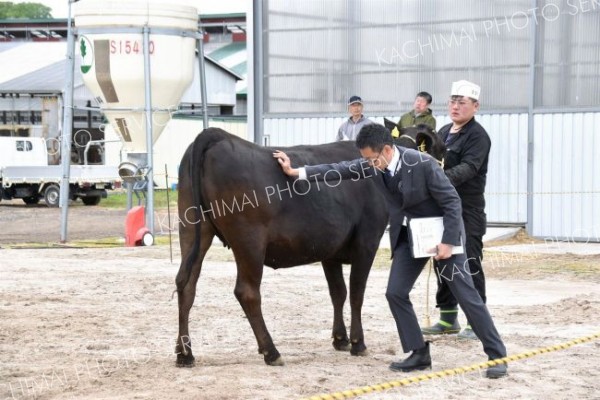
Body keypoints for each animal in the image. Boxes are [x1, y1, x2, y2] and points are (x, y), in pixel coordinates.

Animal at [175, 127, 390, 366]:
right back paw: (271, 351)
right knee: (247, 292)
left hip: (192, 228)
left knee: (186, 285)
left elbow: (338, 292)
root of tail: (216, 134)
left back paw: (185, 354)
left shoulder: (330, 251)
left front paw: (340, 339)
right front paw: (358, 343)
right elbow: (356, 294)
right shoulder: (367, 242)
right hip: (249, 241)